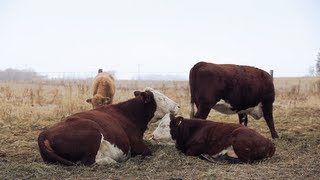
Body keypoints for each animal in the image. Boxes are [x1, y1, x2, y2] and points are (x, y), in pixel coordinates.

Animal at [37, 88, 180, 165]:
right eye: (161, 98)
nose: (178, 105)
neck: (129, 114)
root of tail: (44, 133)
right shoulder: (138, 146)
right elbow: (150, 150)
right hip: (93, 131)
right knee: (87, 162)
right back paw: (111, 161)